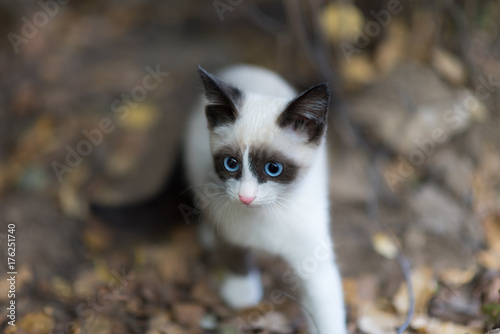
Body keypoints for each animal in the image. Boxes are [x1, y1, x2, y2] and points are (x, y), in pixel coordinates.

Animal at [185, 66, 348, 334]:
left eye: (273, 169)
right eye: (231, 164)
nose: (245, 197)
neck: (267, 214)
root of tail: (240, 67)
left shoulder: (314, 263)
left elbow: (326, 313)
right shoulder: (229, 228)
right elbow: (233, 254)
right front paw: (242, 293)